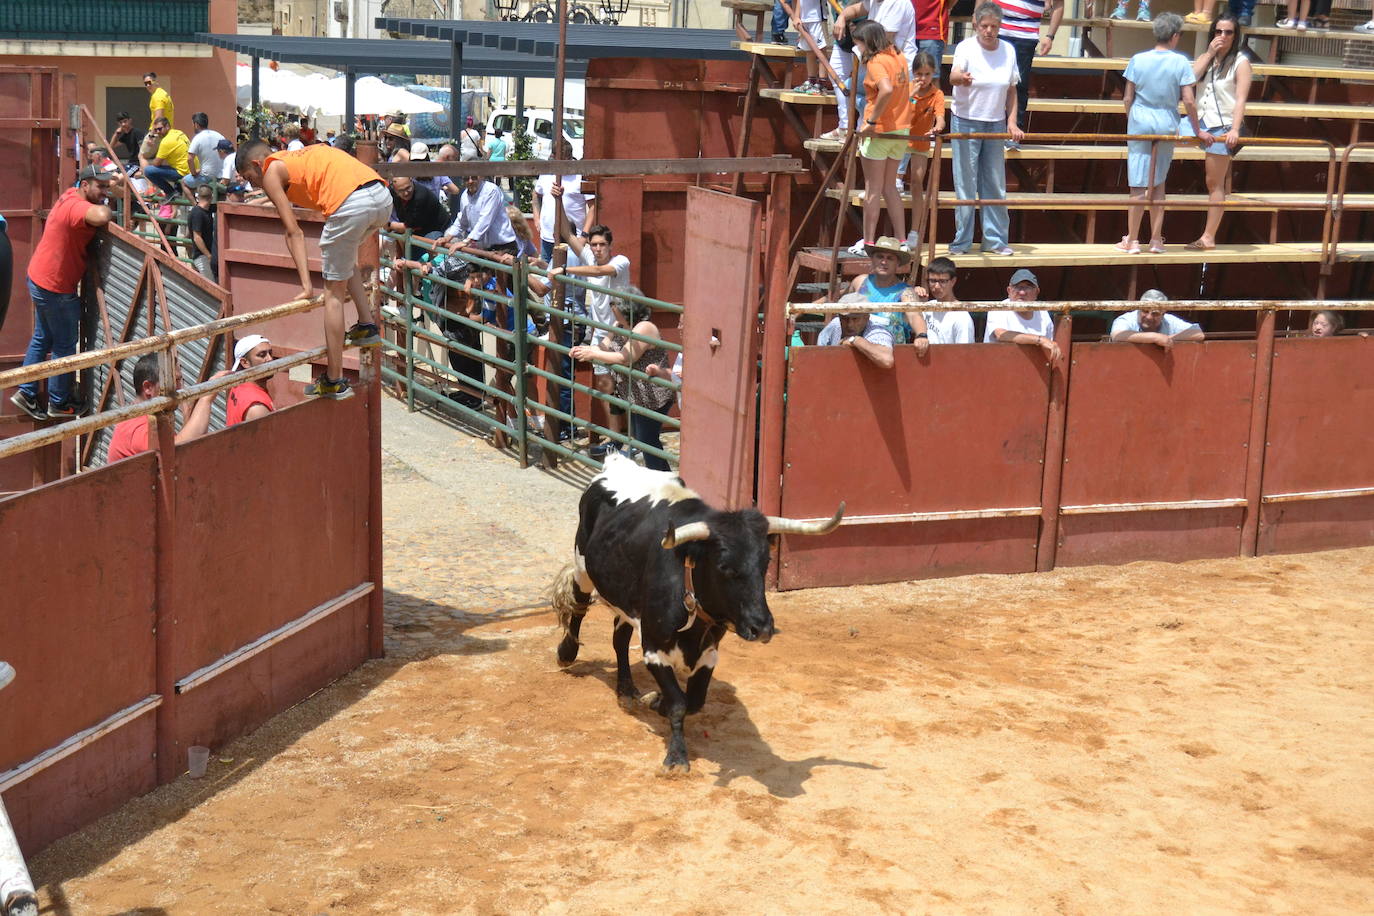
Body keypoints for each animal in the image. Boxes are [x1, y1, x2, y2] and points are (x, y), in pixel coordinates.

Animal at [552, 453, 840, 774]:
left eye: (765, 563)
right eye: (724, 566)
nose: (762, 628)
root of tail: (616, 462)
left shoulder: (708, 652)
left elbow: (694, 701)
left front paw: (657, 703)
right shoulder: (653, 648)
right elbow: (679, 703)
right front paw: (676, 756)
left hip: (624, 597)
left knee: (620, 636)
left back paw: (626, 690)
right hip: (583, 566)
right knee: (578, 605)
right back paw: (567, 652)